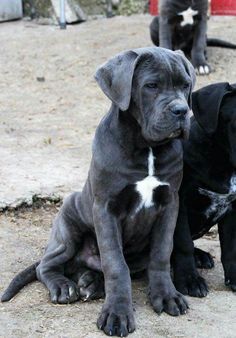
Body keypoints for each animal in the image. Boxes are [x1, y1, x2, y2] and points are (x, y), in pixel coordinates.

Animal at [1, 46, 195, 336]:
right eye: (151, 86)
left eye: (185, 85)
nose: (182, 110)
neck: (146, 147)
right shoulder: (106, 208)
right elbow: (115, 263)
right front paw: (118, 314)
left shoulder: (169, 204)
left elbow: (161, 253)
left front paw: (166, 295)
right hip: (68, 226)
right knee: (46, 266)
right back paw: (65, 287)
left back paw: (91, 283)